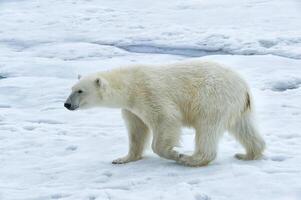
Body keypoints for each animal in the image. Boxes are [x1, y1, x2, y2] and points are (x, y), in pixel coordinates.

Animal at [64, 60, 264, 166]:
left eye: (80, 91)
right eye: (71, 88)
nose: (67, 104)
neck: (130, 86)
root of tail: (243, 86)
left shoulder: (150, 94)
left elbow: (166, 119)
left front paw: (175, 154)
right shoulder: (131, 108)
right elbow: (137, 131)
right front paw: (122, 159)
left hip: (212, 99)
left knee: (207, 128)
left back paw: (191, 159)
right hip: (238, 107)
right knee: (245, 128)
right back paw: (247, 154)